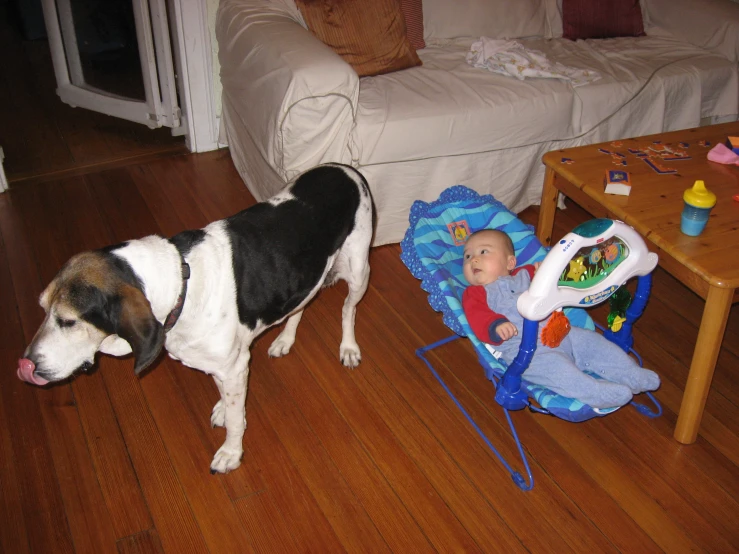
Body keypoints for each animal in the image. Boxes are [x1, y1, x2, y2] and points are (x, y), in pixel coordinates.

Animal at [17, 162, 376, 472]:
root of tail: (345, 166)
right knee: (300, 307)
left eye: (69, 321)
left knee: (348, 310)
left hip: (359, 271)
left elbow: (235, 419)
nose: (27, 365)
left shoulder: (236, 364)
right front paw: (223, 409)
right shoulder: (223, 363)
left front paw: (231, 452)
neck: (181, 283)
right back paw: (285, 340)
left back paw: (348, 348)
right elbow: (226, 397)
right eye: (42, 309)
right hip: (306, 275)